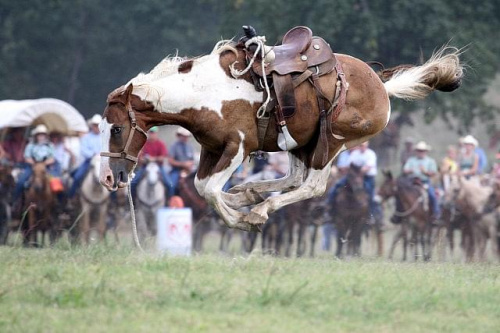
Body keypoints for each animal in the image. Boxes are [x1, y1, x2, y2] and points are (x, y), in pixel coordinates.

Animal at [99, 26, 462, 232]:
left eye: (116, 129)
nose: (107, 177)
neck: (203, 93)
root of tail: (380, 85)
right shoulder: (211, 148)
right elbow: (203, 186)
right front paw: (237, 204)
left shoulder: (237, 148)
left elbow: (210, 190)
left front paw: (242, 220)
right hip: (302, 142)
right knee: (294, 178)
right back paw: (249, 193)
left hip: (333, 142)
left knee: (312, 186)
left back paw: (260, 209)